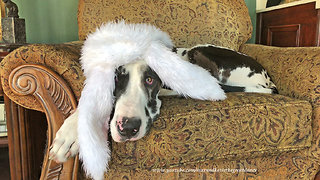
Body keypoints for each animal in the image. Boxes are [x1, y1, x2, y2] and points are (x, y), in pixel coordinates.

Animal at [48, 21, 278, 180]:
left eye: (150, 79)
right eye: (116, 78)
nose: (128, 128)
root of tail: (267, 79)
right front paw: (71, 132)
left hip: (200, 51)